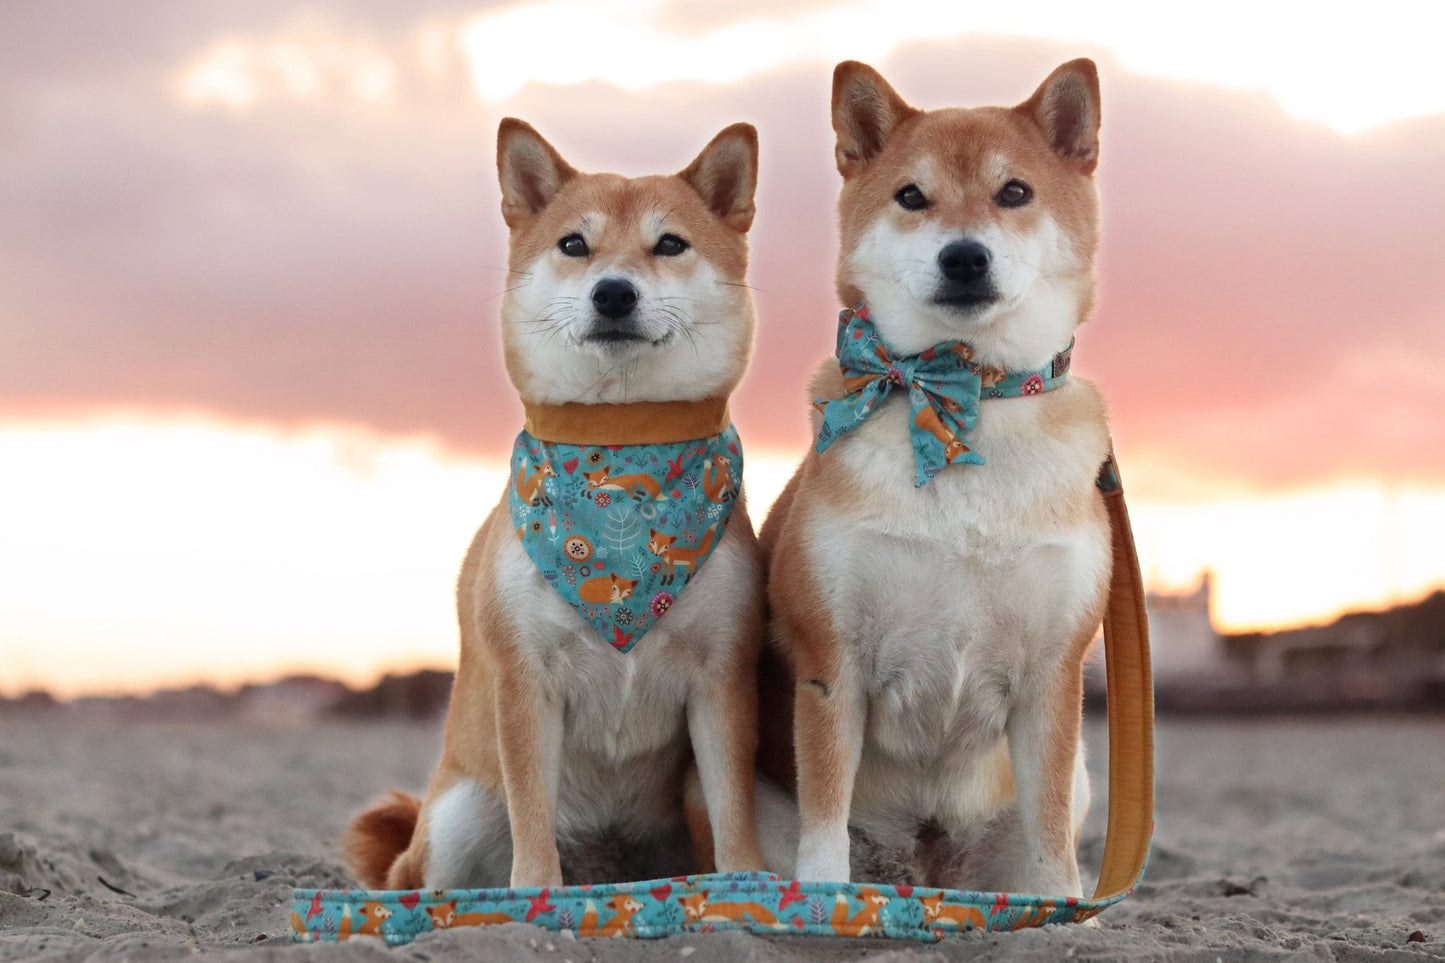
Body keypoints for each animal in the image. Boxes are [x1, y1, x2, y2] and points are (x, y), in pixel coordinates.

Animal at [343, 119, 766, 892]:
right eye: (574, 244)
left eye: (669, 244)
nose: (613, 293)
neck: (621, 448)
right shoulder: (526, 680)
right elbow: (532, 821)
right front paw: (535, 895)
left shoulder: (722, 676)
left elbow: (733, 816)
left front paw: (748, 885)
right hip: (457, 815)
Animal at [754, 59, 1112, 898]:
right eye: (911, 196)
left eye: (1014, 191)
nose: (963, 256)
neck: (962, 396)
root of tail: (924, 864)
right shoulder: (832, 660)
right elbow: (824, 816)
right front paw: (825, 902)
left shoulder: (1053, 675)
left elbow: (1052, 835)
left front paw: (1065, 912)